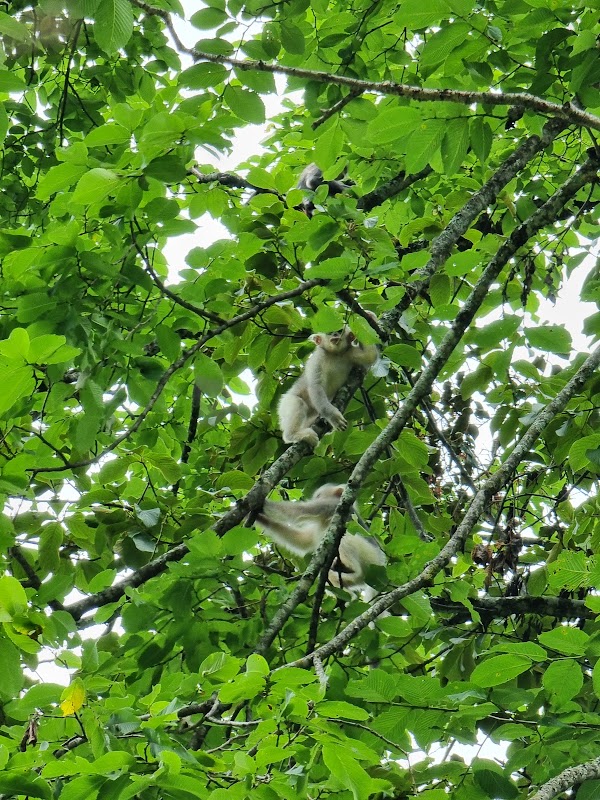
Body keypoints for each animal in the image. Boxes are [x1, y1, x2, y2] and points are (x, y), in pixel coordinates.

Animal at [255, 484, 386, 597]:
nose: (315, 498)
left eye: (318, 496)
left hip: (369, 556)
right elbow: (302, 540)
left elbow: (299, 511)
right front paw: (260, 518)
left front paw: (260, 504)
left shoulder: (331, 505)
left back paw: (347, 567)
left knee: (345, 537)